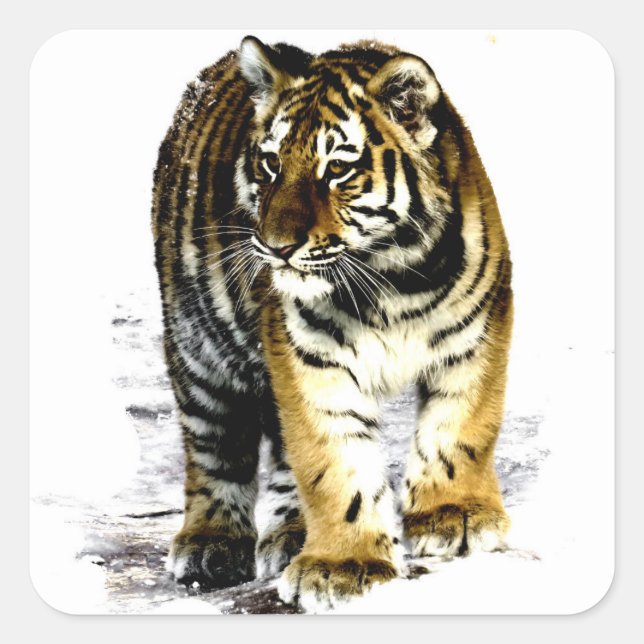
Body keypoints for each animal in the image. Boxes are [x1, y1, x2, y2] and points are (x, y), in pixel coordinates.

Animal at [151, 35, 513, 612]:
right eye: (270, 163)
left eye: (337, 169)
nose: (275, 247)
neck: (393, 277)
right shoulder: (309, 357)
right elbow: (333, 462)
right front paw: (345, 566)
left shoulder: (476, 332)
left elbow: (461, 428)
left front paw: (455, 517)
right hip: (198, 348)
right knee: (215, 447)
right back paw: (211, 545)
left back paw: (291, 534)